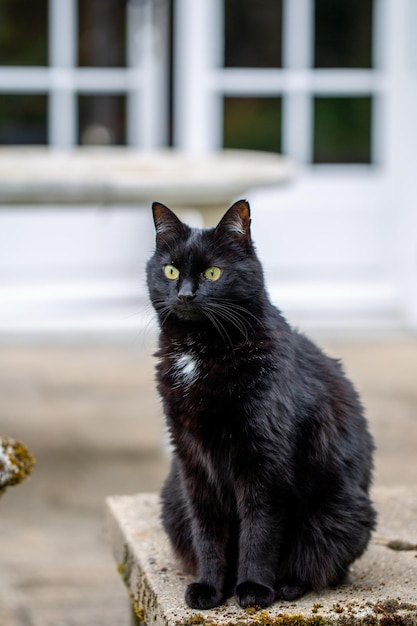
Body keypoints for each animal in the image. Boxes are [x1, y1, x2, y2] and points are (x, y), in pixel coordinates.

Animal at [145, 201, 374, 608]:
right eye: (170, 270)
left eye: (213, 272)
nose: (185, 294)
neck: (201, 351)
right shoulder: (191, 460)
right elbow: (208, 530)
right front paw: (209, 587)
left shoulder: (265, 461)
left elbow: (260, 529)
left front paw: (252, 588)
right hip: (172, 500)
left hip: (340, 511)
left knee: (320, 563)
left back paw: (287, 584)